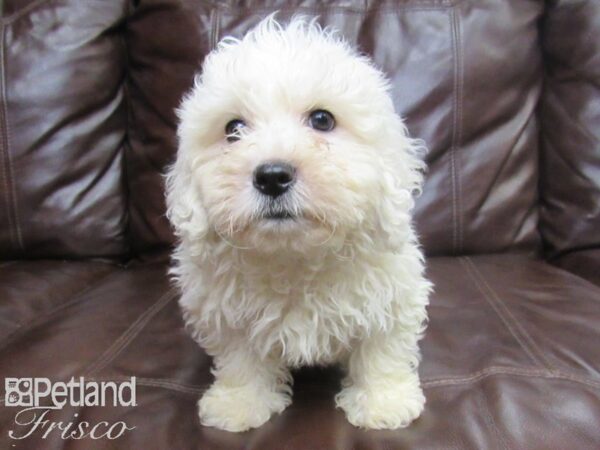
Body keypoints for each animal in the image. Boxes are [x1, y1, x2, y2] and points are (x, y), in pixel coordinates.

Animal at [165, 16, 432, 432]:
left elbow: (382, 346)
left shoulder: (393, 292)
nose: (272, 176)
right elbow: (240, 358)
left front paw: (383, 402)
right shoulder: (225, 312)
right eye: (233, 128)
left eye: (322, 119)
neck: (294, 256)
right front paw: (239, 403)